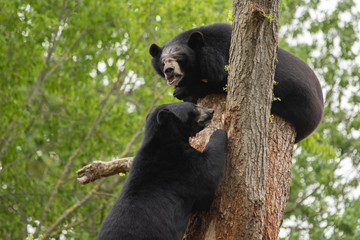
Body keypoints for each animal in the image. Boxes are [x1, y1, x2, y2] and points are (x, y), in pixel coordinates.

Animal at [97, 101, 228, 240]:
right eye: (193, 107)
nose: (211, 111)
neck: (164, 138)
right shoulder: (181, 165)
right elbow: (208, 176)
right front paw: (219, 132)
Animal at [149, 22, 324, 142]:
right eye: (163, 61)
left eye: (179, 58)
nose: (169, 70)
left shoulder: (226, 57)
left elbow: (220, 80)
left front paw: (182, 91)